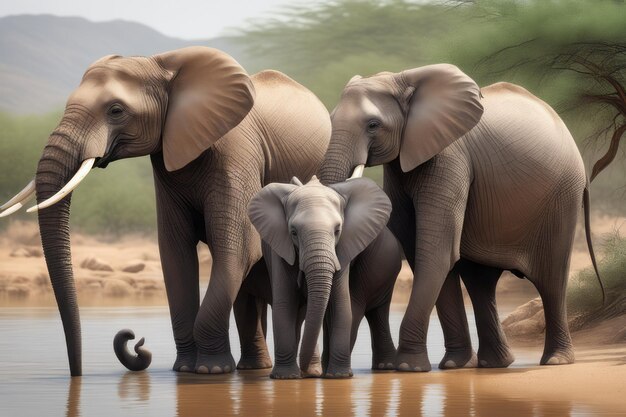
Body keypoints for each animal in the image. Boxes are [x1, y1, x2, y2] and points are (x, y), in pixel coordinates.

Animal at [320, 64, 604, 370]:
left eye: (373, 125)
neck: (404, 79)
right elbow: (422, 250)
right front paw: (453, 365)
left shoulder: (449, 157)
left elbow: (437, 252)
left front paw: (408, 367)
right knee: (480, 281)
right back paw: (494, 364)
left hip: (562, 197)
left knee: (551, 279)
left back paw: (555, 361)